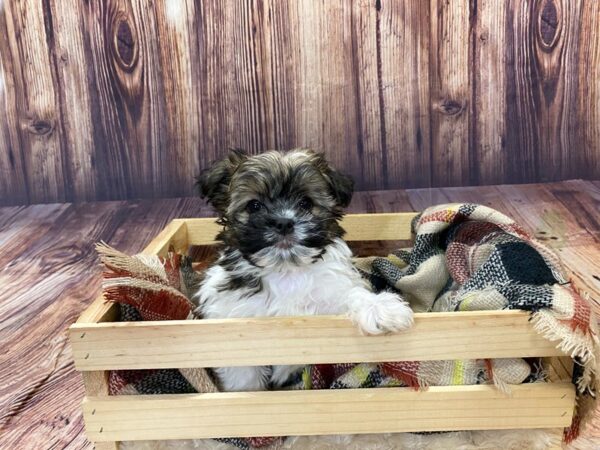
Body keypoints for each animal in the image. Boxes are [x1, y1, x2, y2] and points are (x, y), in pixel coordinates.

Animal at [196, 149, 412, 392]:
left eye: (306, 203)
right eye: (254, 205)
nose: (283, 222)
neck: (286, 271)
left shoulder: (331, 292)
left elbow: (351, 294)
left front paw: (380, 308)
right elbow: (243, 374)